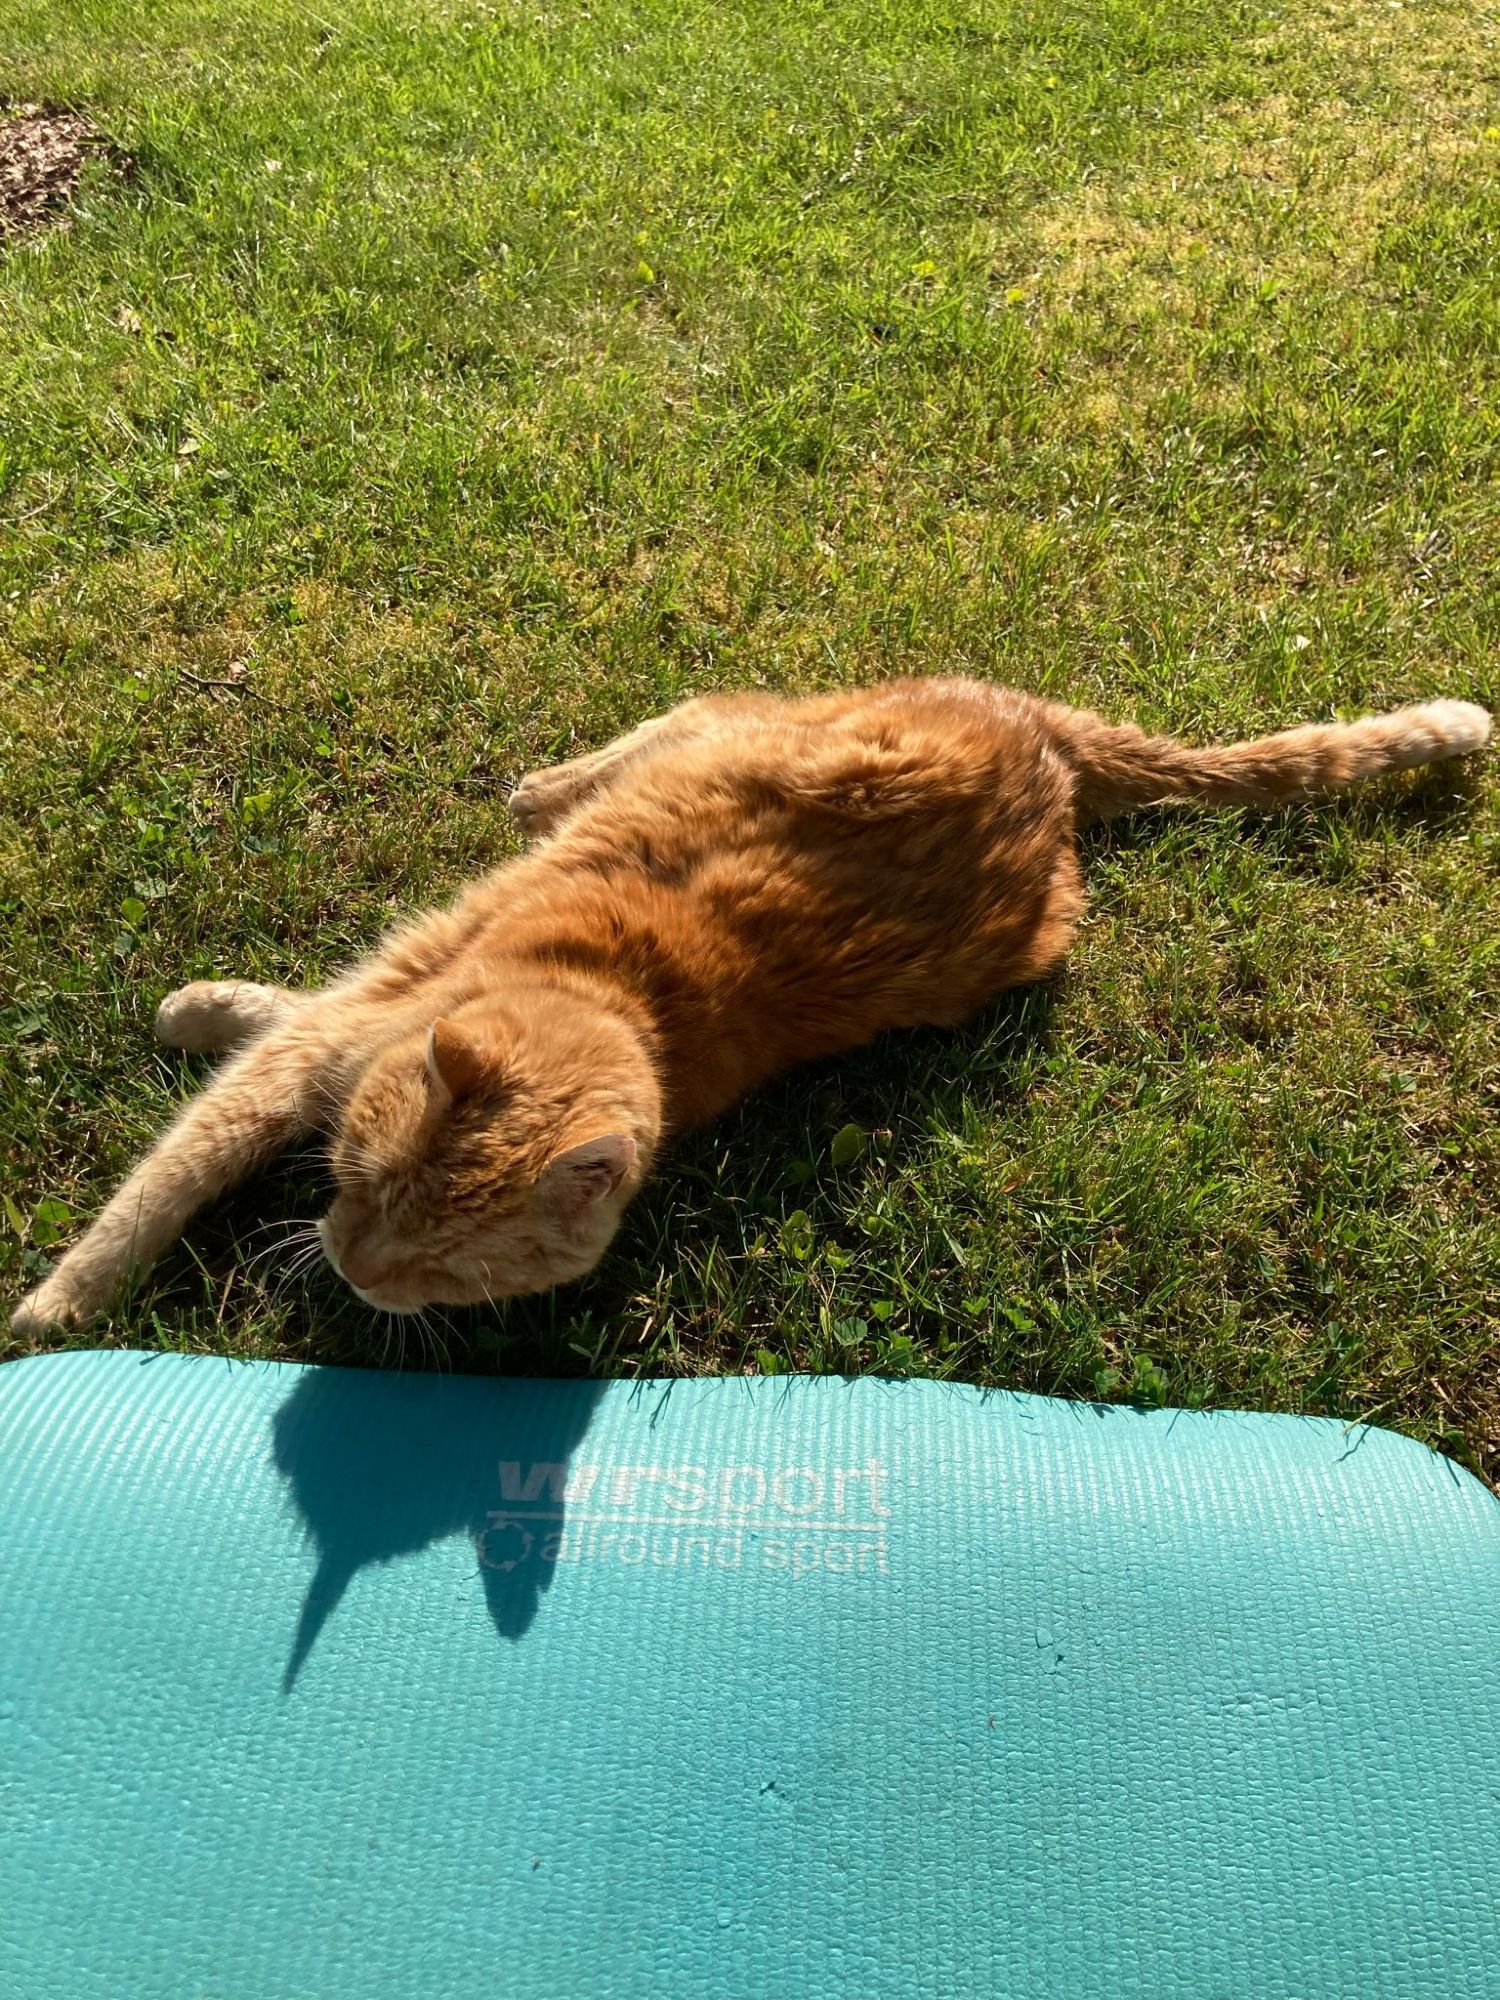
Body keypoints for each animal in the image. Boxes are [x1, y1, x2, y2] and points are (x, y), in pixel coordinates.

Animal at [11, 680, 1496, 1336]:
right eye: (365, 1190)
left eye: (444, 1270)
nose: (351, 1262)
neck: (616, 995)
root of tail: (1053, 750)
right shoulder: (347, 1022)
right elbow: (177, 1163)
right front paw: (61, 1300)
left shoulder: (354, 1022)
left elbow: (210, 1118)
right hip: (755, 728)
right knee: (685, 704)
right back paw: (549, 785)